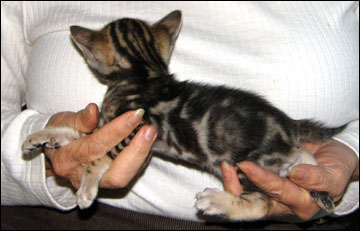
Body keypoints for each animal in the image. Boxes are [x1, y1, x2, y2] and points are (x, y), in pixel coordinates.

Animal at [21, 10, 346, 220]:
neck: (144, 72)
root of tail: (289, 124)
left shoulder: (135, 126)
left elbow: (99, 156)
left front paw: (87, 187)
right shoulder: (106, 125)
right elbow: (75, 135)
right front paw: (40, 137)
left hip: (247, 165)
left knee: (261, 203)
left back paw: (218, 200)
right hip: (275, 160)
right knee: (301, 156)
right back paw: (319, 188)